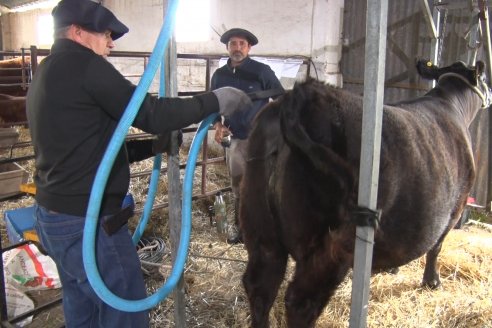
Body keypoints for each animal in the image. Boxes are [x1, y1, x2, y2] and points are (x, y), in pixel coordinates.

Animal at [240, 59, 490, 328]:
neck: (450, 103)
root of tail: (300, 96)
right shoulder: (456, 207)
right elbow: (436, 246)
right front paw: (431, 281)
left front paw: (392, 269)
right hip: (330, 247)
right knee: (301, 301)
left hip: (261, 229)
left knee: (260, 287)